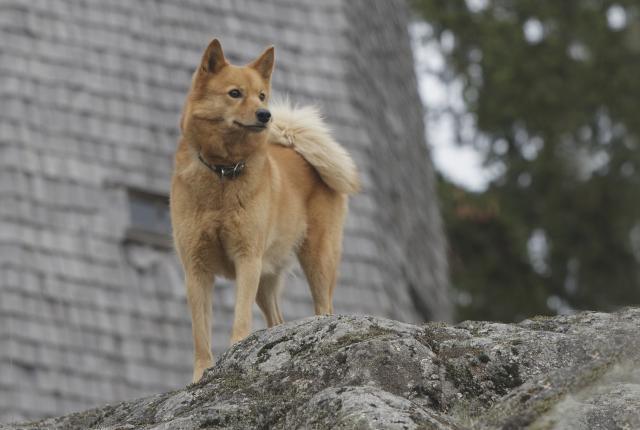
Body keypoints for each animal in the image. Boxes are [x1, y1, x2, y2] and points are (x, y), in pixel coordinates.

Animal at [170, 39, 360, 382]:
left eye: (261, 95)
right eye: (235, 93)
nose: (265, 114)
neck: (222, 173)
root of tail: (298, 151)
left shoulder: (247, 258)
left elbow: (240, 316)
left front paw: (235, 349)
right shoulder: (196, 268)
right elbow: (200, 333)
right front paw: (201, 373)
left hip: (317, 259)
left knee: (324, 308)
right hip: (267, 278)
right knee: (278, 320)